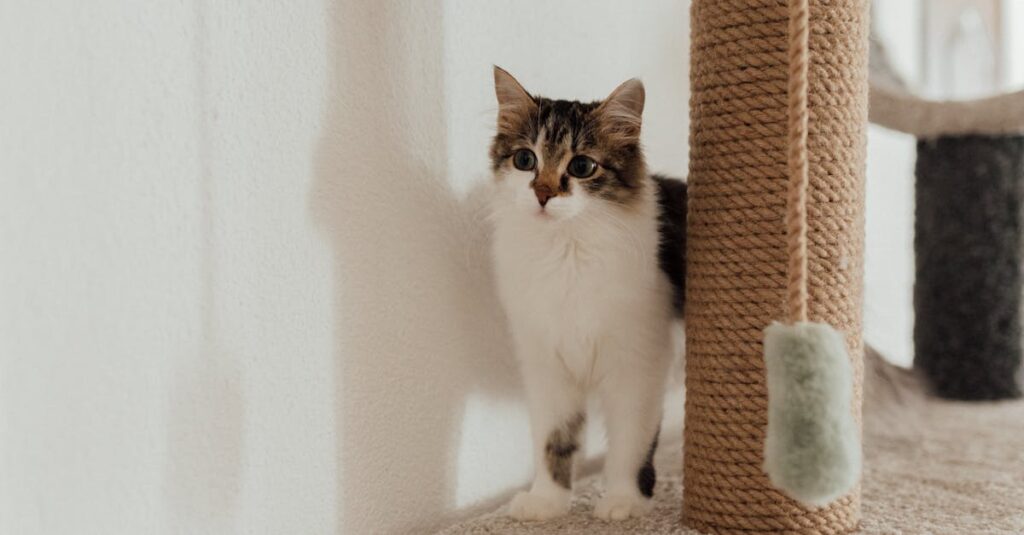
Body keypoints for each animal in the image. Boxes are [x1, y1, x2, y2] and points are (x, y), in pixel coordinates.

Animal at [489, 64, 688, 518]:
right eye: (525, 160)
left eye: (582, 166)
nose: (543, 193)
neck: (567, 252)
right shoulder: (546, 366)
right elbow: (554, 440)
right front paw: (547, 502)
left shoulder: (640, 364)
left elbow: (631, 442)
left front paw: (623, 500)